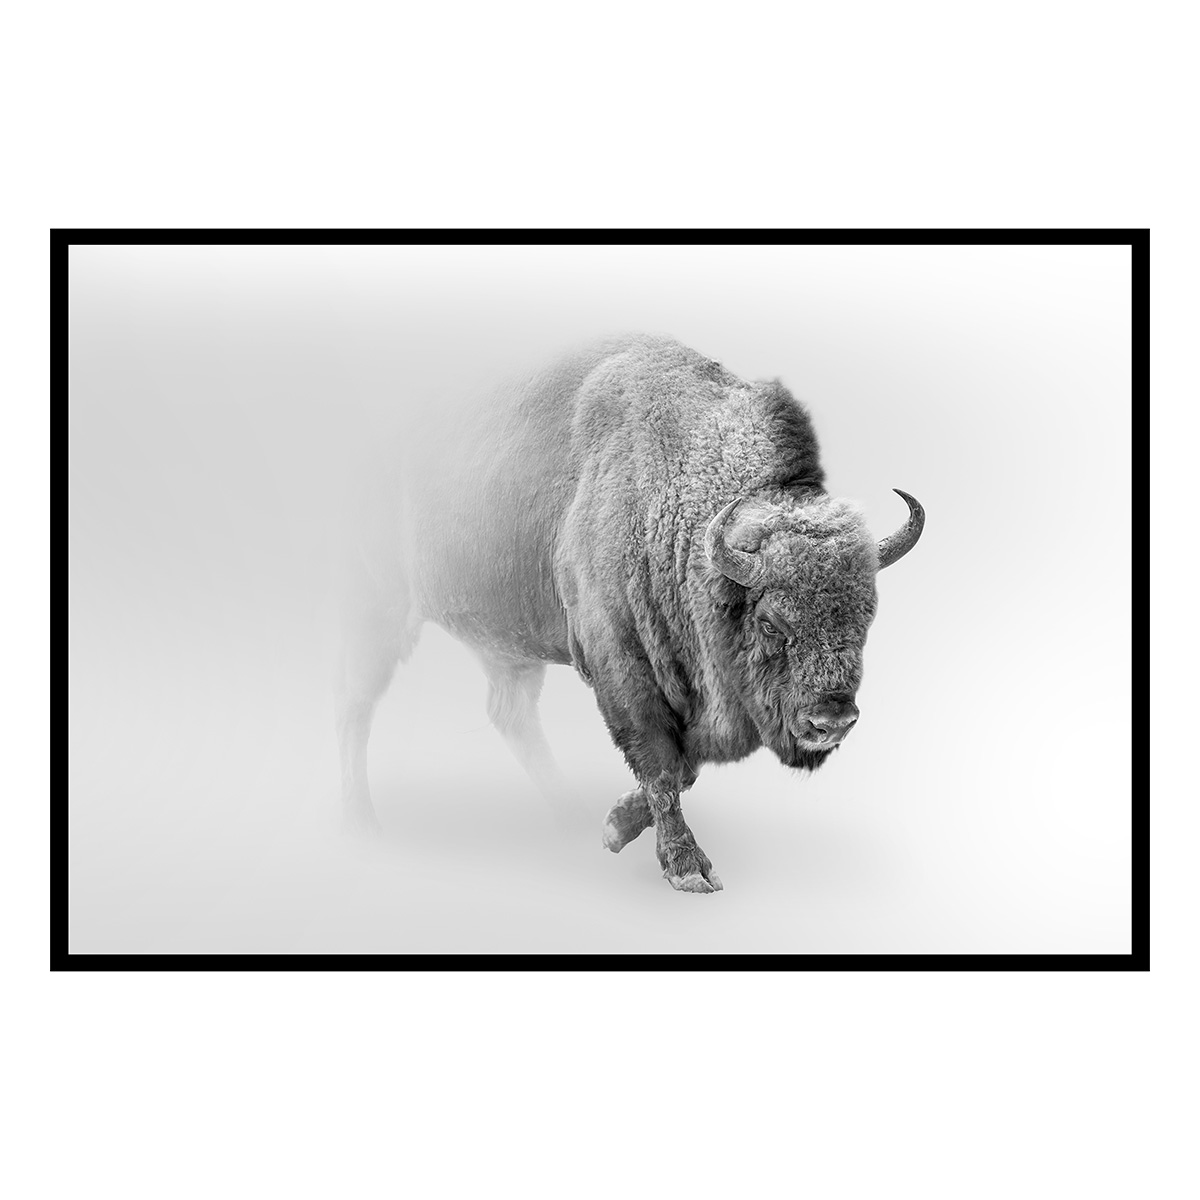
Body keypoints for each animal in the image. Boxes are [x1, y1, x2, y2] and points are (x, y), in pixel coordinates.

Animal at [337, 334, 924, 893]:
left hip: (505, 647)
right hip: (378, 610)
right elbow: (661, 762)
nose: (832, 721)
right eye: (770, 622)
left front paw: (613, 827)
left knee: (509, 713)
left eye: (866, 617)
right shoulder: (620, 665)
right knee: (355, 705)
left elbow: (683, 766)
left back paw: (568, 815)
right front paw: (687, 868)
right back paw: (361, 825)